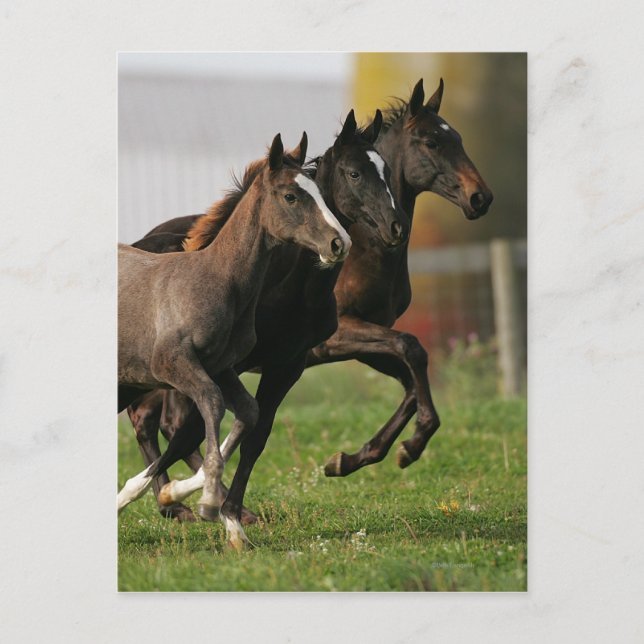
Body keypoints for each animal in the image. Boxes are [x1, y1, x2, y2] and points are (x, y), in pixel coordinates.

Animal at [121, 111, 409, 525]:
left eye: (386, 169)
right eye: (355, 173)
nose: (395, 227)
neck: (291, 289)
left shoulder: (287, 365)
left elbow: (255, 433)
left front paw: (226, 508)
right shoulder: (228, 365)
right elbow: (195, 429)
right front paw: (195, 497)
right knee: (157, 421)